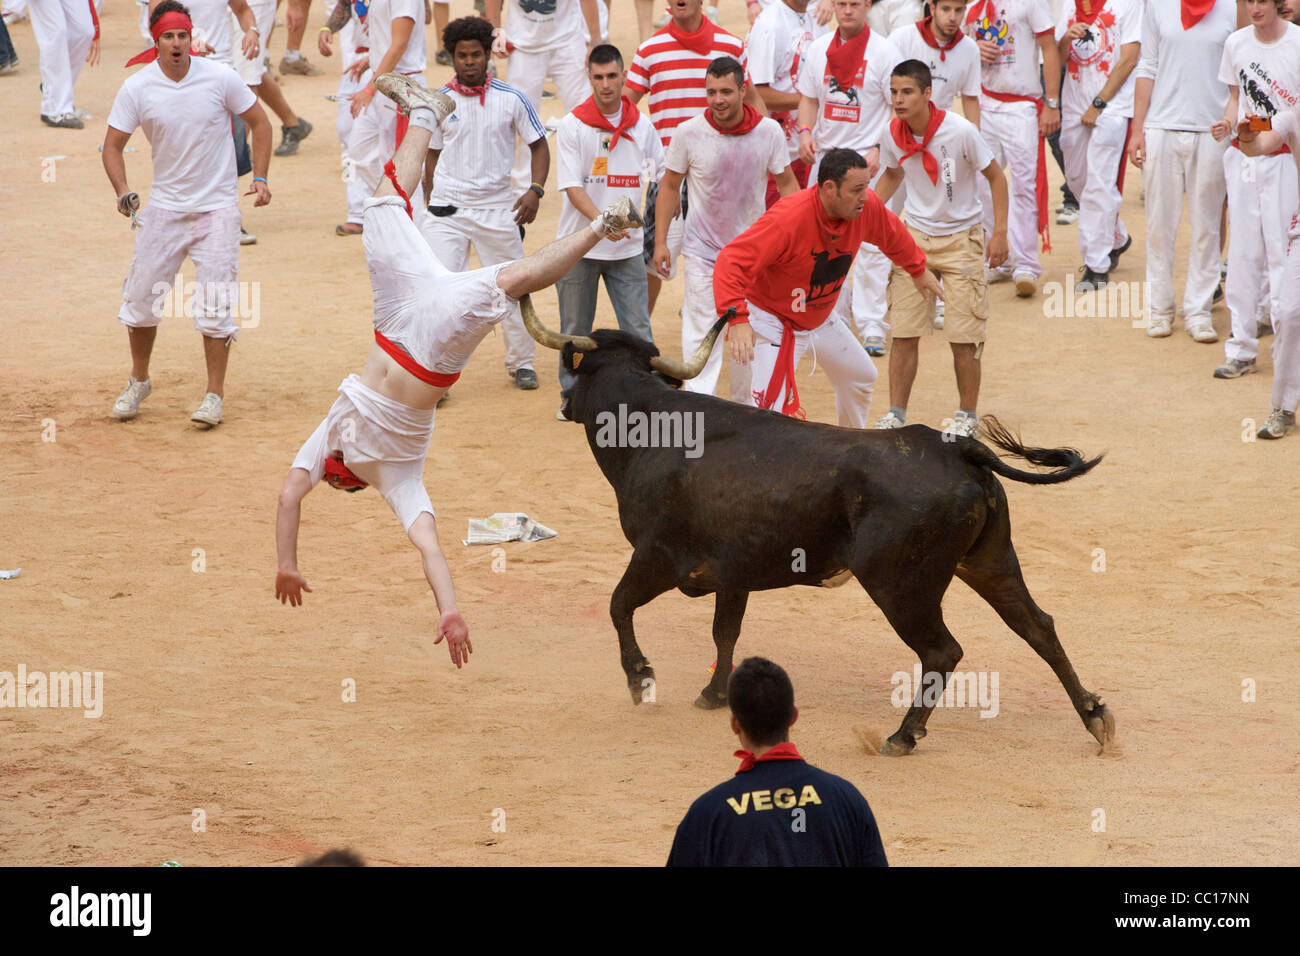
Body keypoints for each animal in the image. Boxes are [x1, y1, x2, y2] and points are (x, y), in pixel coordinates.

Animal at [522, 299, 1112, 754]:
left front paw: (640, 679)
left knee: (943, 651)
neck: (650, 426)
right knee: (1038, 627)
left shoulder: (657, 556)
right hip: (989, 562)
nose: (564, 403)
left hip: (900, 584)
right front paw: (714, 695)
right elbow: (725, 631)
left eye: (577, 370)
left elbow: (618, 604)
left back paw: (902, 735)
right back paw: (1095, 717)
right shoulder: (733, 573)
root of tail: (957, 448)